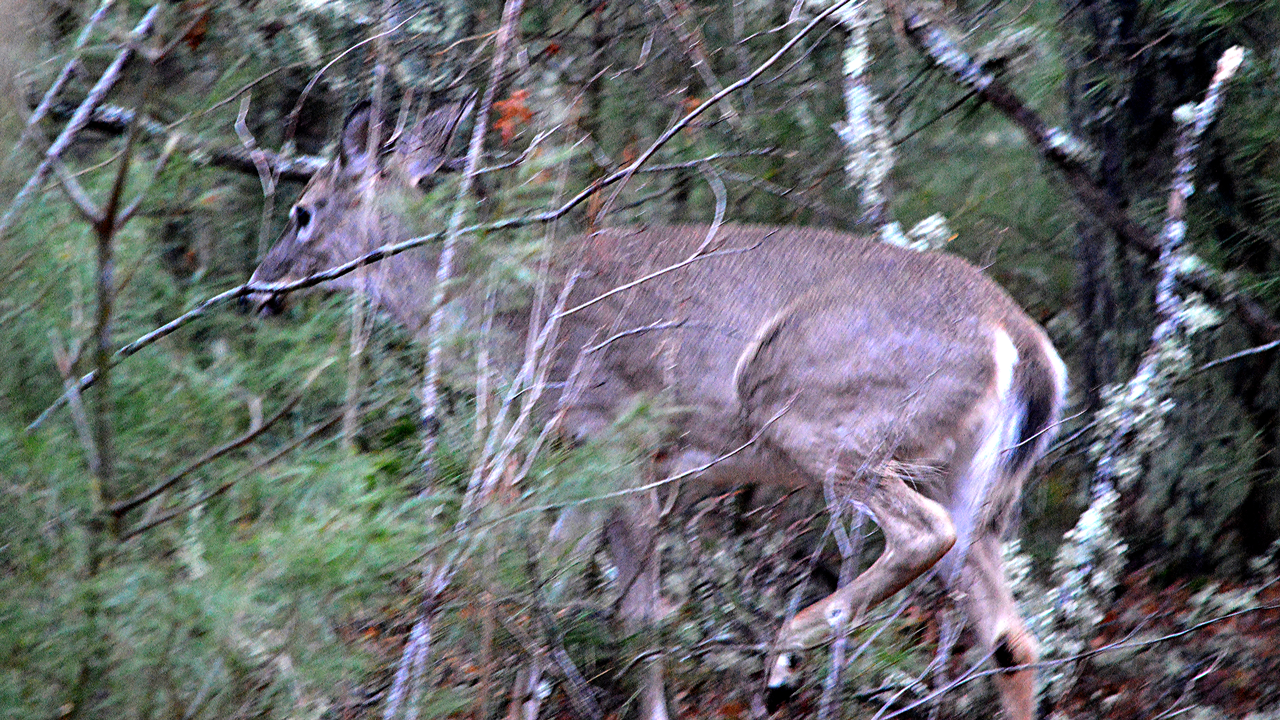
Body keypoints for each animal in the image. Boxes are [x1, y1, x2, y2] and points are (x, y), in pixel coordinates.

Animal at [244, 101, 1064, 717]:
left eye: (303, 211)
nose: (258, 286)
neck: (511, 319)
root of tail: (1019, 339)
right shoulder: (584, 463)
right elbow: (551, 594)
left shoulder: (623, 437)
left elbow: (635, 612)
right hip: (975, 479)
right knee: (1012, 640)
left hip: (809, 410)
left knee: (923, 536)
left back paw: (786, 654)